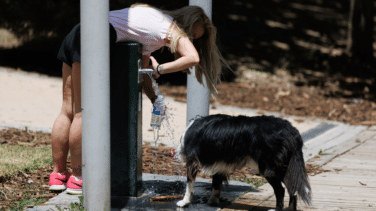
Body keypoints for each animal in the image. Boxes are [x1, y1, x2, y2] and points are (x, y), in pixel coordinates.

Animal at [176, 114, 312, 211]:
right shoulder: (221, 165)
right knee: (293, 188)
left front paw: (184, 202)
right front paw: (213, 202)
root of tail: (291, 130)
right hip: (286, 167)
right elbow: (216, 184)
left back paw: (276, 209)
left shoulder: (192, 162)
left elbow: (189, 185)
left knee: (281, 190)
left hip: (269, 168)